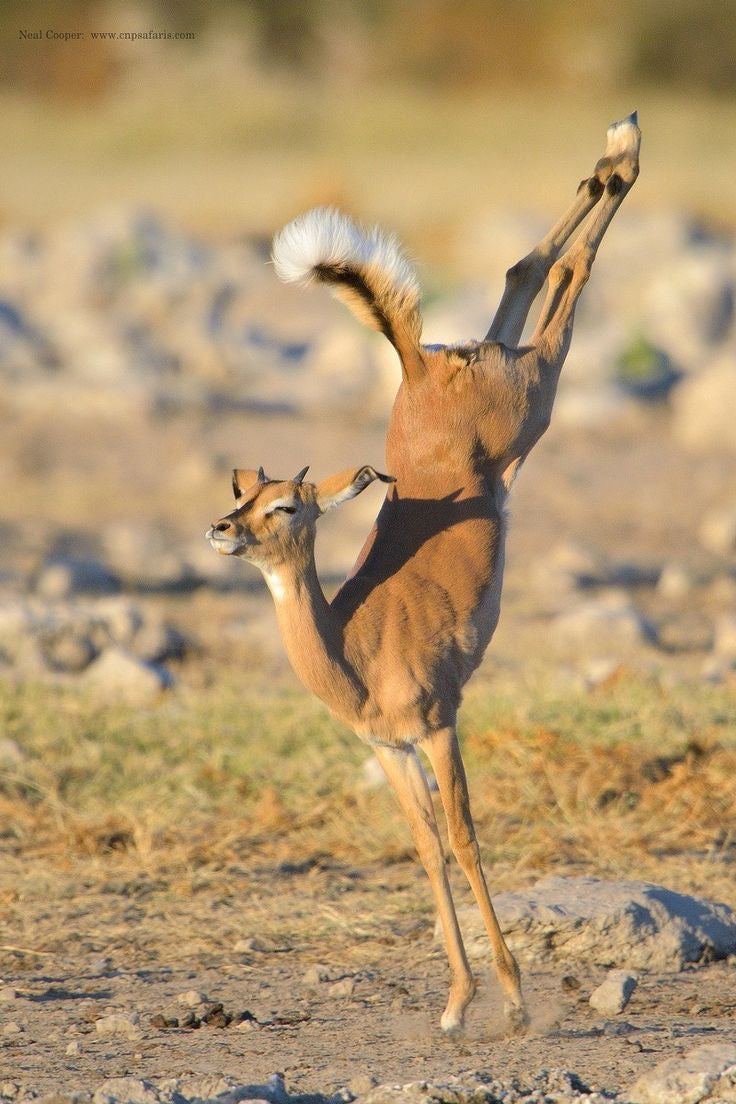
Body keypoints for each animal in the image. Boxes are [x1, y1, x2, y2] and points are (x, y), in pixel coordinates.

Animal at [207, 113, 640, 1034]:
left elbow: (467, 840)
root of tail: (412, 363)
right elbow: (428, 851)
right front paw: (455, 1003)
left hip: (538, 393)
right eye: (240, 493)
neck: (357, 655)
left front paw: (511, 999)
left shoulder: (441, 726)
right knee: (526, 270)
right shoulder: (390, 751)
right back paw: (611, 155)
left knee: (571, 278)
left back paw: (624, 153)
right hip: (516, 377)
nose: (220, 530)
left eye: (286, 506)